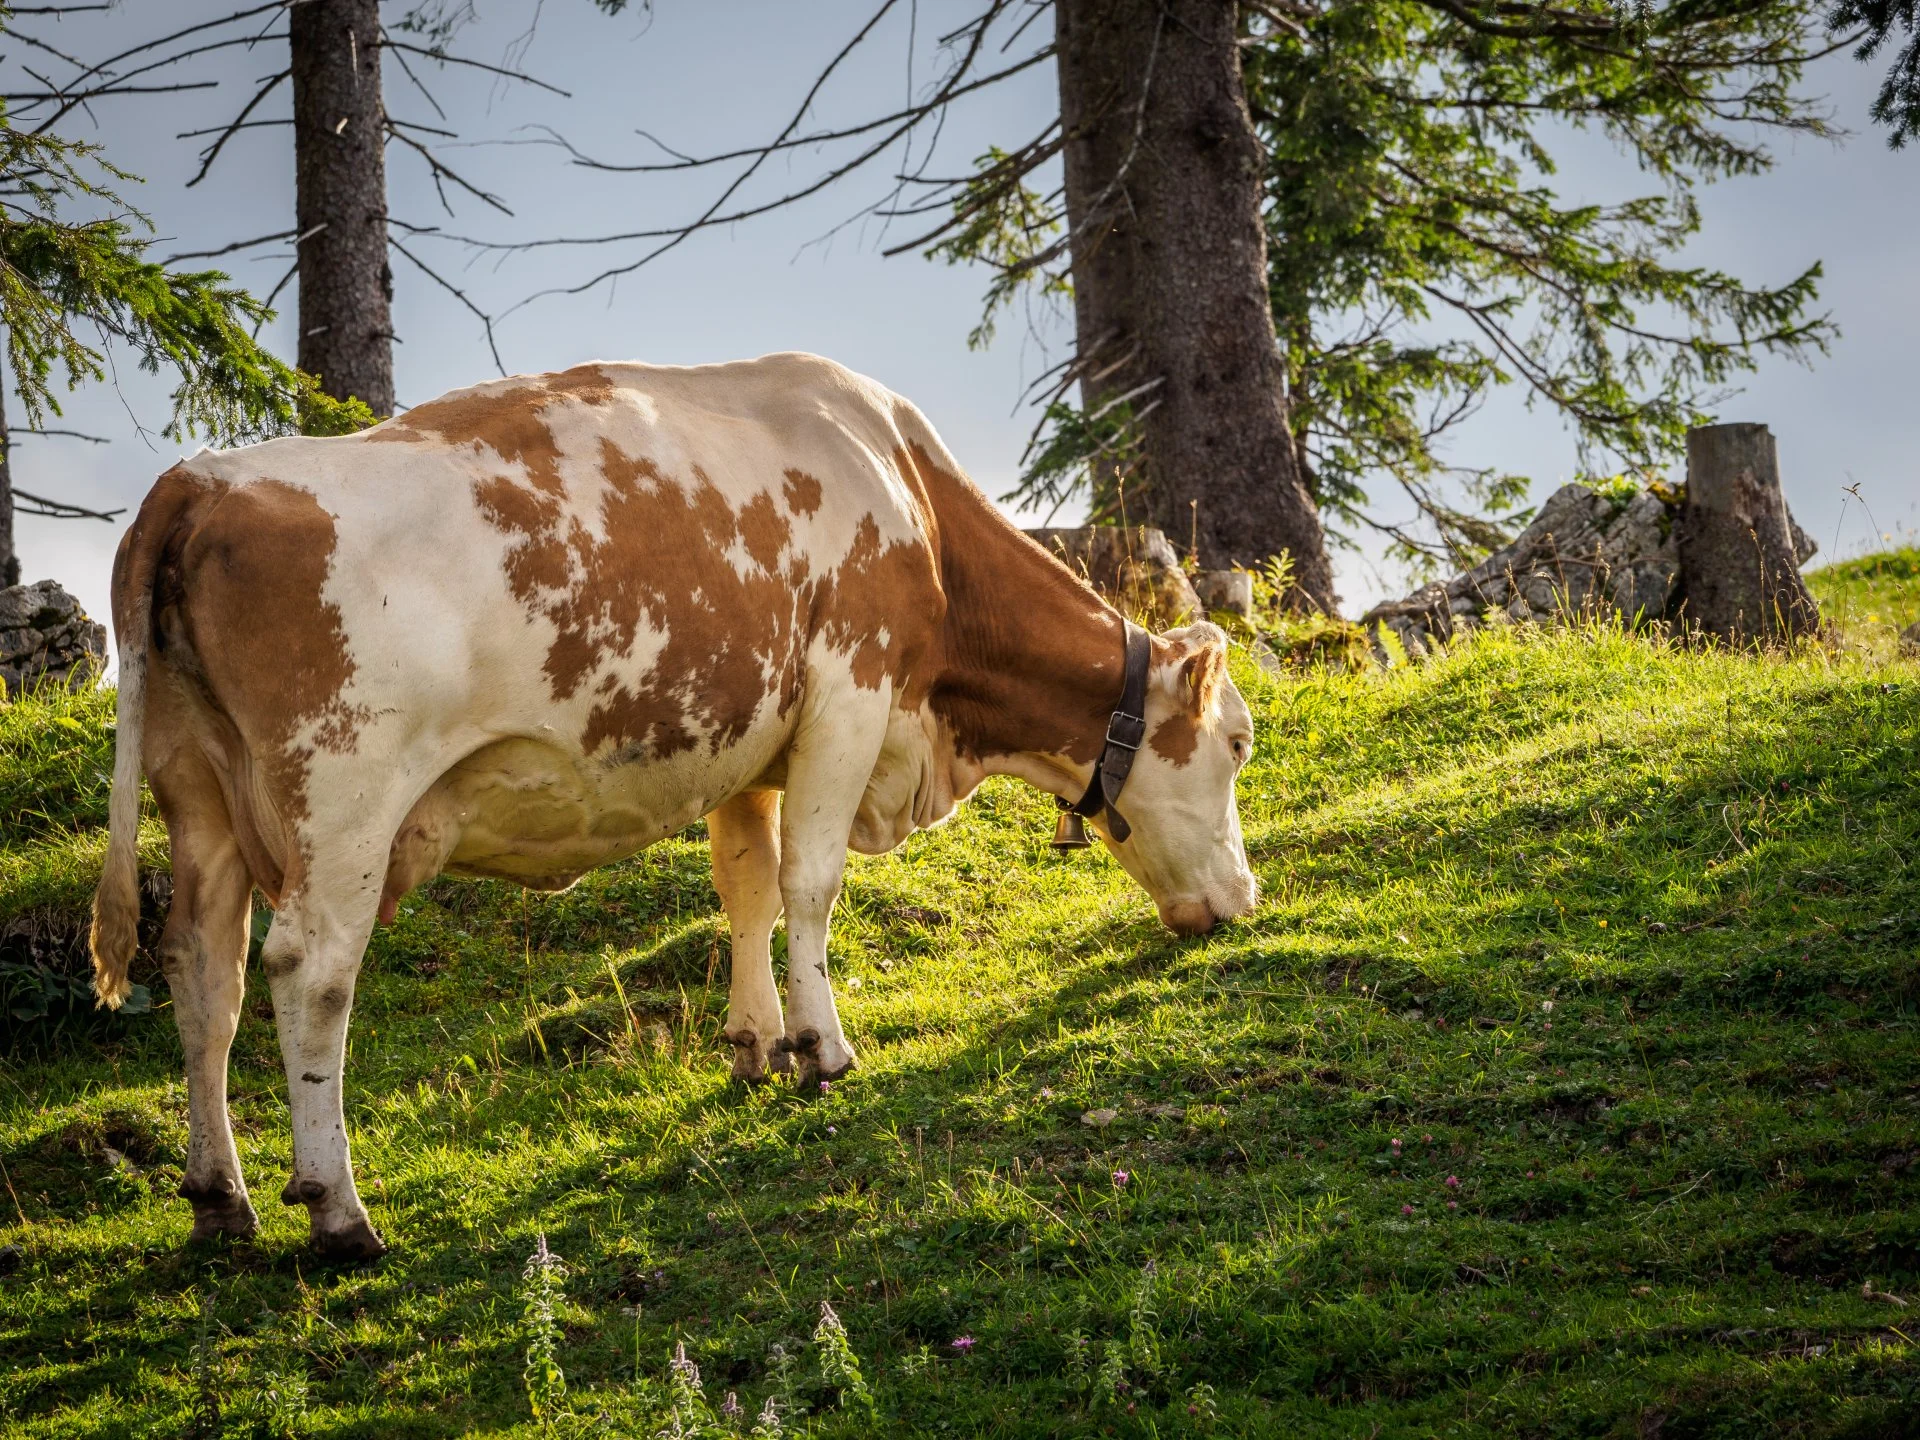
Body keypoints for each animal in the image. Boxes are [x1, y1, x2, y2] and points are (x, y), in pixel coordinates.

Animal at [89, 353, 1258, 1258]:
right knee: (309, 974)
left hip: (197, 796)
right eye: (1240, 743)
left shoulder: (752, 751)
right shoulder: (849, 692)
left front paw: (755, 1044)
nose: (1246, 898)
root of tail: (199, 482)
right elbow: (811, 885)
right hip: (342, 801)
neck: (914, 506)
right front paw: (824, 1051)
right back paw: (338, 1212)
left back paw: (220, 1198)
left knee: (205, 970)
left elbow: (747, 891)